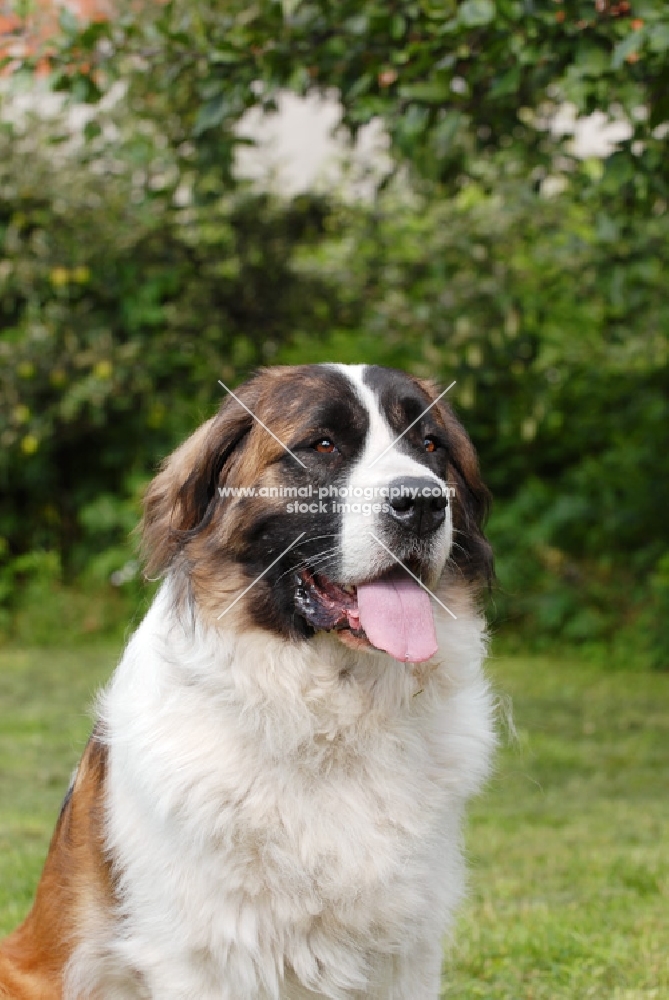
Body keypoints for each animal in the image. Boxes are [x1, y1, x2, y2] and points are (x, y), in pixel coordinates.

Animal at [0, 364, 490, 996]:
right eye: (322, 445)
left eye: (431, 446)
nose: (424, 503)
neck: (331, 711)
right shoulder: (203, 955)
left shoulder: (407, 951)